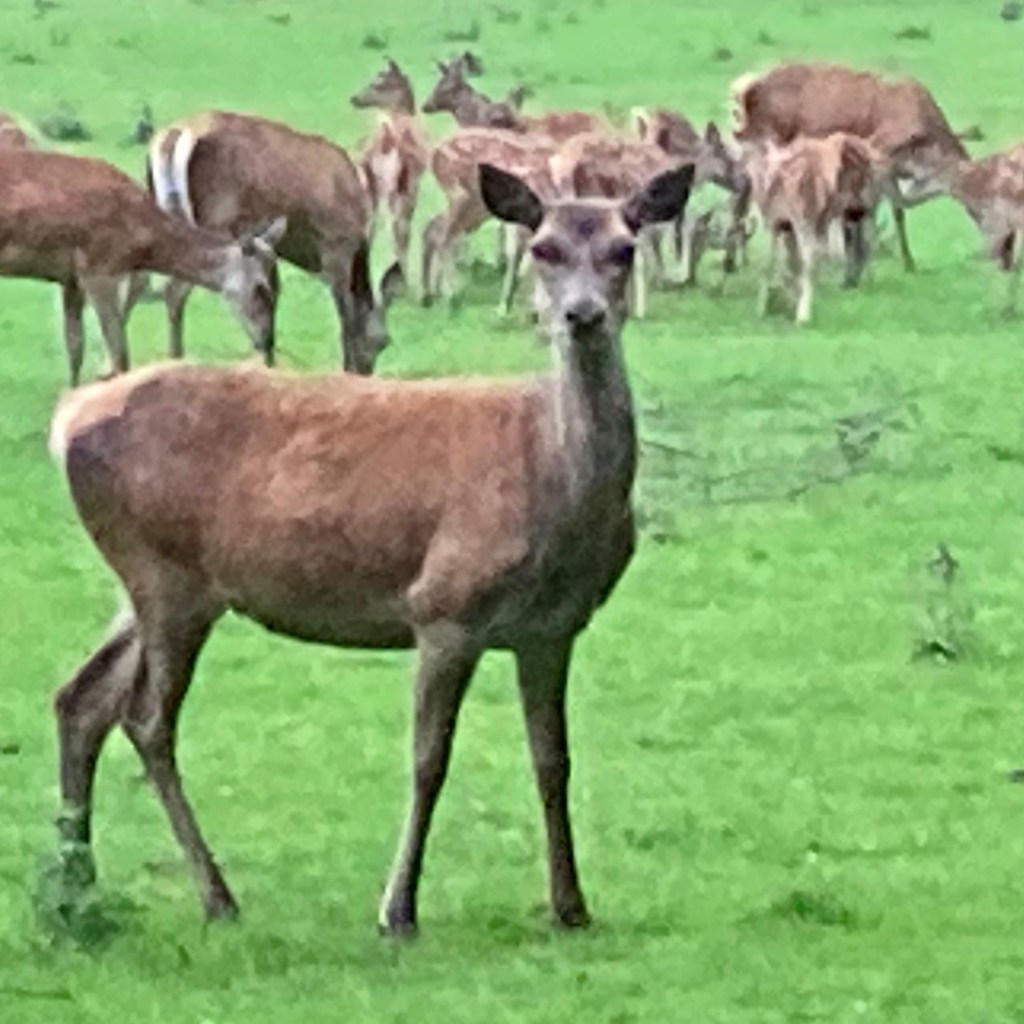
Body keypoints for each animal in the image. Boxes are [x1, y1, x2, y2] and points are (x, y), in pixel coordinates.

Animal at [0, 147, 281, 386]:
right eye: (261, 289)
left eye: (280, 289)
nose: (268, 345)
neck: (141, 244)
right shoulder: (98, 268)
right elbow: (120, 356)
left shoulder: (71, 278)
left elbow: (74, 346)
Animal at [47, 160, 694, 937]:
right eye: (543, 248)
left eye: (625, 248)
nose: (582, 315)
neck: (554, 478)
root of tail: (68, 420)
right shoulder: (444, 607)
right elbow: (428, 758)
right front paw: (398, 909)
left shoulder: (553, 628)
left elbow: (554, 759)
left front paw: (571, 905)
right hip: (165, 575)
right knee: (145, 719)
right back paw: (214, 896)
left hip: (148, 582)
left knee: (80, 699)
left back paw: (74, 882)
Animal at [146, 111, 402, 376]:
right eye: (383, 342)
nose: (365, 372)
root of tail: (175, 135)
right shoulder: (337, 246)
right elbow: (346, 315)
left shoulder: (271, 248)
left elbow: (272, 296)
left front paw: (269, 362)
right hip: (217, 222)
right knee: (176, 289)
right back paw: (176, 359)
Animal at [351, 58, 432, 283]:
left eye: (379, 83)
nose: (355, 98)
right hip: (399, 184)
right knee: (398, 226)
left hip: (371, 184)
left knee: (372, 225)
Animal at [745, 132, 886, 324]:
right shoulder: (785, 224)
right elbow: (786, 261)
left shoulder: (789, 222)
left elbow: (792, 261)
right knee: (861, 242)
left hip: (859, 210)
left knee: (862, 242)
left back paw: (804, 315)